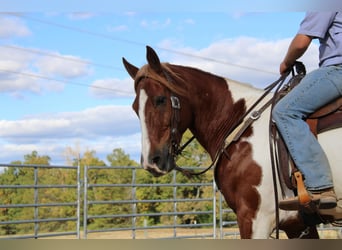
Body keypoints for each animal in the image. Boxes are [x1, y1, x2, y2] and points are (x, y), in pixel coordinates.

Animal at [121, 45, 340, 238]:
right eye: (134, 107)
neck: (240, 124)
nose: (151, 161)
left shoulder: (254, 218)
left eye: (160, 99)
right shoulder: (298, 225)